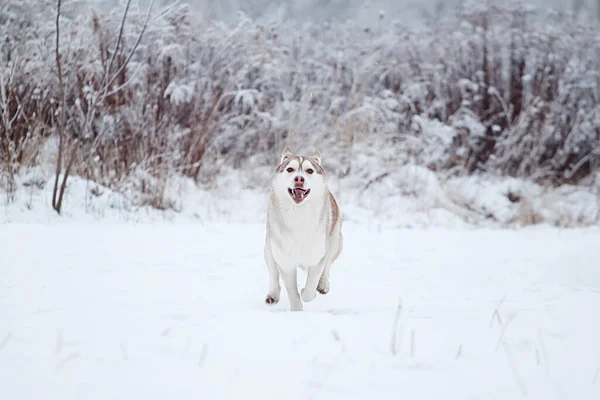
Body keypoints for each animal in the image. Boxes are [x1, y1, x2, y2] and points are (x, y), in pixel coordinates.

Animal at [262, 145, 342, 310]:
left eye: (309, 171)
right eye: (290, 169)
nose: (299, 178)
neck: (298, 214)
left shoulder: (317, 257)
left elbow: (310, 289)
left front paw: (307, 291)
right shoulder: (285, 262)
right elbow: (292, 292)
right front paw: (297, 310)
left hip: (335, 241)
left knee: (328, 264)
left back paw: (323, 285)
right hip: (269, 248)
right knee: (273, 273)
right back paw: (273, 295)